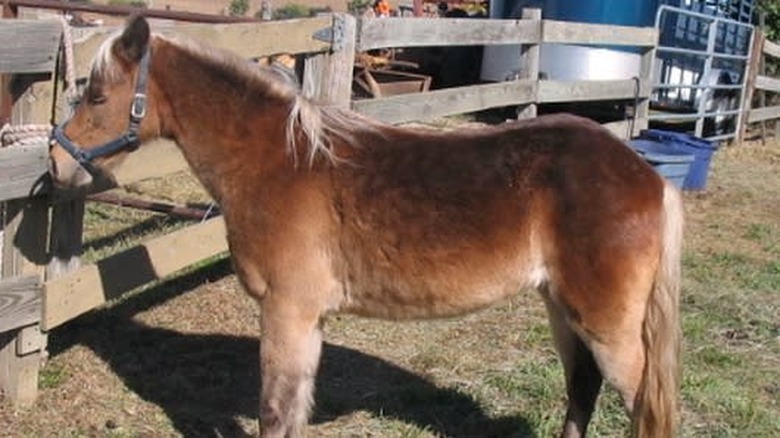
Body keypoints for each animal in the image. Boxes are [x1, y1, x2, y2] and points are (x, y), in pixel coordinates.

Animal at [49, 15, 683, 438]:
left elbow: (274, 412)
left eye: (97, 95)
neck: (279, 160)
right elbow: (293, 412)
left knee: (638, 405)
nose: (55, 162)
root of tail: (647, 177)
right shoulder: (307, 321)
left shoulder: (286, 312)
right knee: (582, 390)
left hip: (609, 328)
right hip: (563, 310)